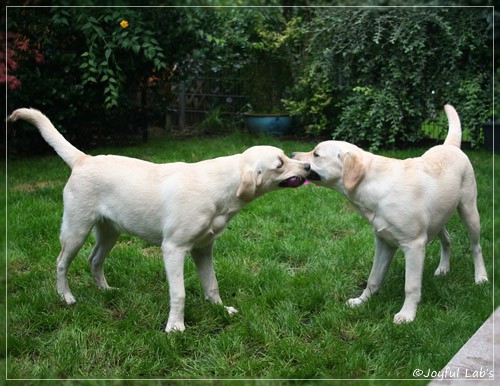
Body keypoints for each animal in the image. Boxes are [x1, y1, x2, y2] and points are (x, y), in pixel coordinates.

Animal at [8, 108, 308, 332]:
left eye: (285, 156)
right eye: (280, 163)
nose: (306, 165)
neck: (218, 187)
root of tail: (84, 159)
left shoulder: (203, 249)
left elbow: (211, 284)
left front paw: (220, 309)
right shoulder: (173, 249)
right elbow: (180, 293)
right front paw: (175, 327)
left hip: (109, 232)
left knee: (94, 260)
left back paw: (105, 290)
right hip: (76, 229)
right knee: (61, 263)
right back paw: (66, 297)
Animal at [292, 105, 488, 322]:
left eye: (316, 154)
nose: (291, 153)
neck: (375, 186)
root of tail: (450, 146)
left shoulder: (413, 245)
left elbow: (411, 285)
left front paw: (407, 315)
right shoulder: (384, 242)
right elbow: (373, 278)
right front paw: (361, 301)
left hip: (469, 211)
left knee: (476, 247)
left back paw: (481, 277)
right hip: (438, 219)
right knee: (447, 239)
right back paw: (443, 268)